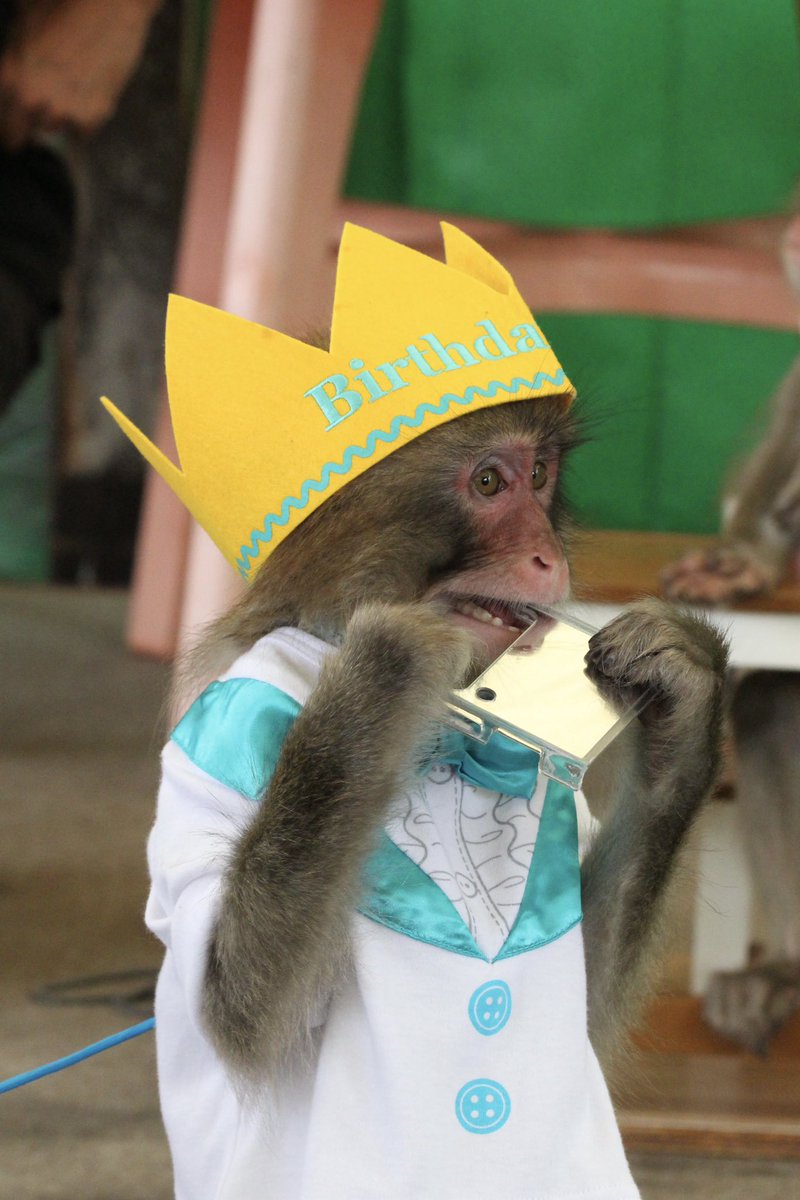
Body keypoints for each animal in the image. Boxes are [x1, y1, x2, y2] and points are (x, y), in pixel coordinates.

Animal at [141, 389, 728, 1198]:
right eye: (487, 483)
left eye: (539, 475)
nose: (548, 556)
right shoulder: (218, 733)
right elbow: (245, 1019)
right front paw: (387, 665)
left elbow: (585, 1001)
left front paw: (683, 692)